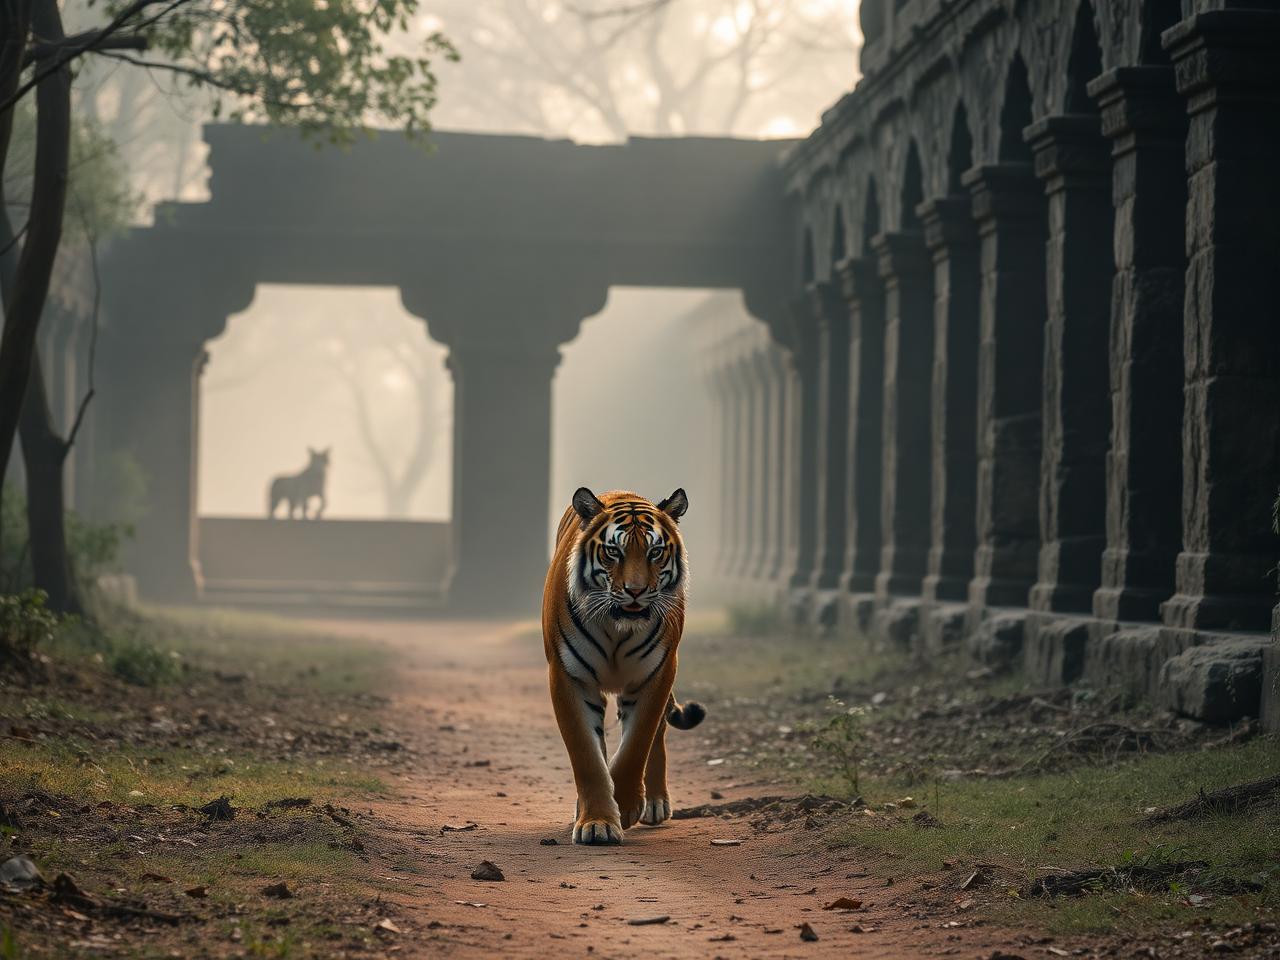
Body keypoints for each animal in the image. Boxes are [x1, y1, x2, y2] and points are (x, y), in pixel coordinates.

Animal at [542, 486, 705, 845]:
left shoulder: (656, 674)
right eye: (613, 552)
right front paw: (597, 822)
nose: (635, 591)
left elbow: (637, 745)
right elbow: (588, 757)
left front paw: (627, 806)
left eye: (655, 552)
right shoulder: (569, 677)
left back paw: (655, 802)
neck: (617, 627)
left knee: (658, 734)